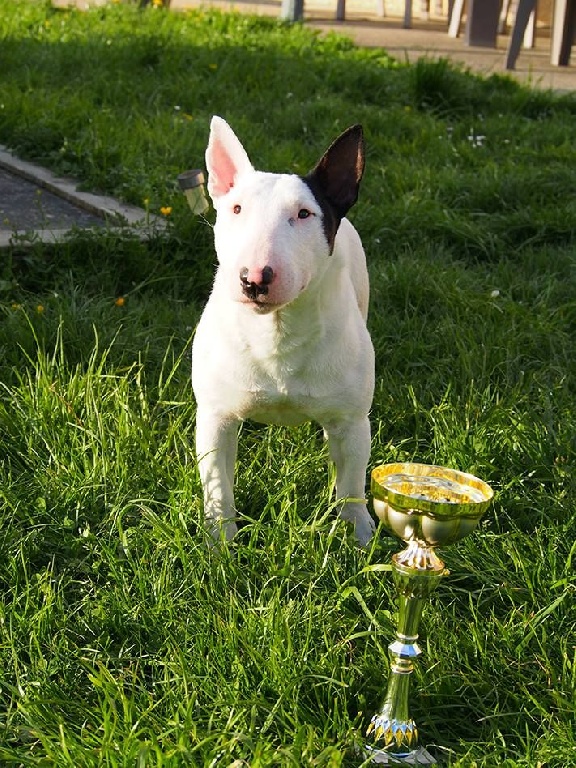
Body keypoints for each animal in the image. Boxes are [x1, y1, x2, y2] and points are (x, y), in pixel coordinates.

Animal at [191, 115, 376, 544]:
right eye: (236, 209)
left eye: (304, 214)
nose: (254, 278)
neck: (275, 332)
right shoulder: (215, 418)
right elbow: (218, 486)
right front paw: (220, 542)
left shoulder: (354, 422)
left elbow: (352, 485)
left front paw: (358, 536)